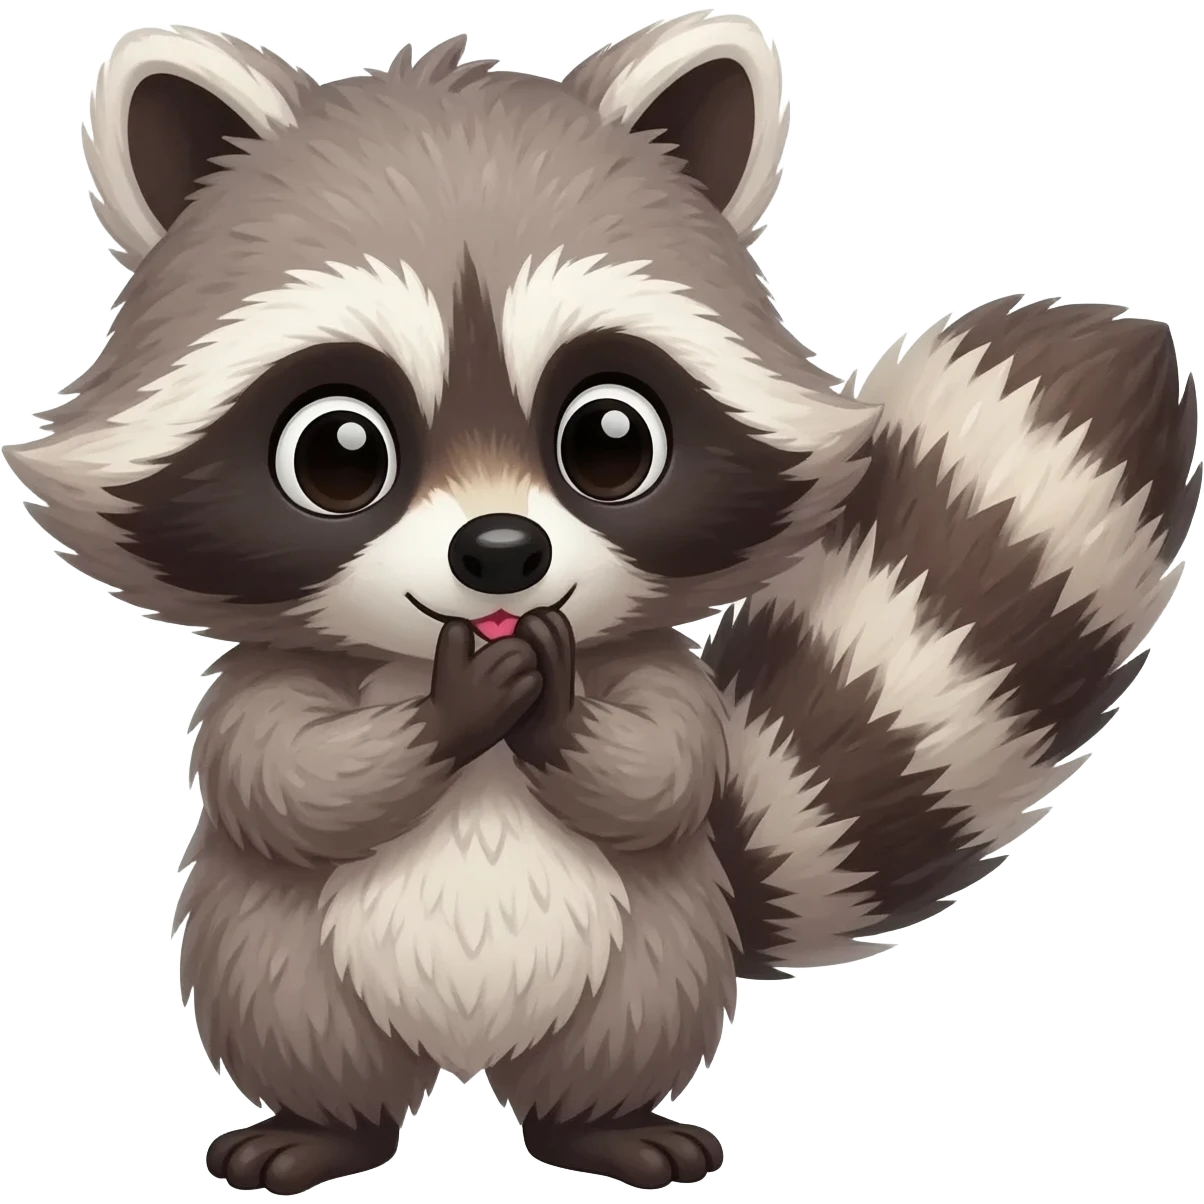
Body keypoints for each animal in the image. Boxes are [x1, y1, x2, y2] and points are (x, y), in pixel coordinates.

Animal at [6, 14, 1198, 1197]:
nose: (501, 554)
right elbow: (280, 779)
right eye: (338, 453)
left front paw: (558, 710)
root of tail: (466, 1058)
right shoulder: (261, 685)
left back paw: (601, 1125)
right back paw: (324, 1124)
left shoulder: (654, 674)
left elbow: (664, 771)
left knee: (614, 1037)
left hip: (652, 963)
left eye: (610, 439)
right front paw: (444, 713)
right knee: (297, 1018)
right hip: (271, 962)